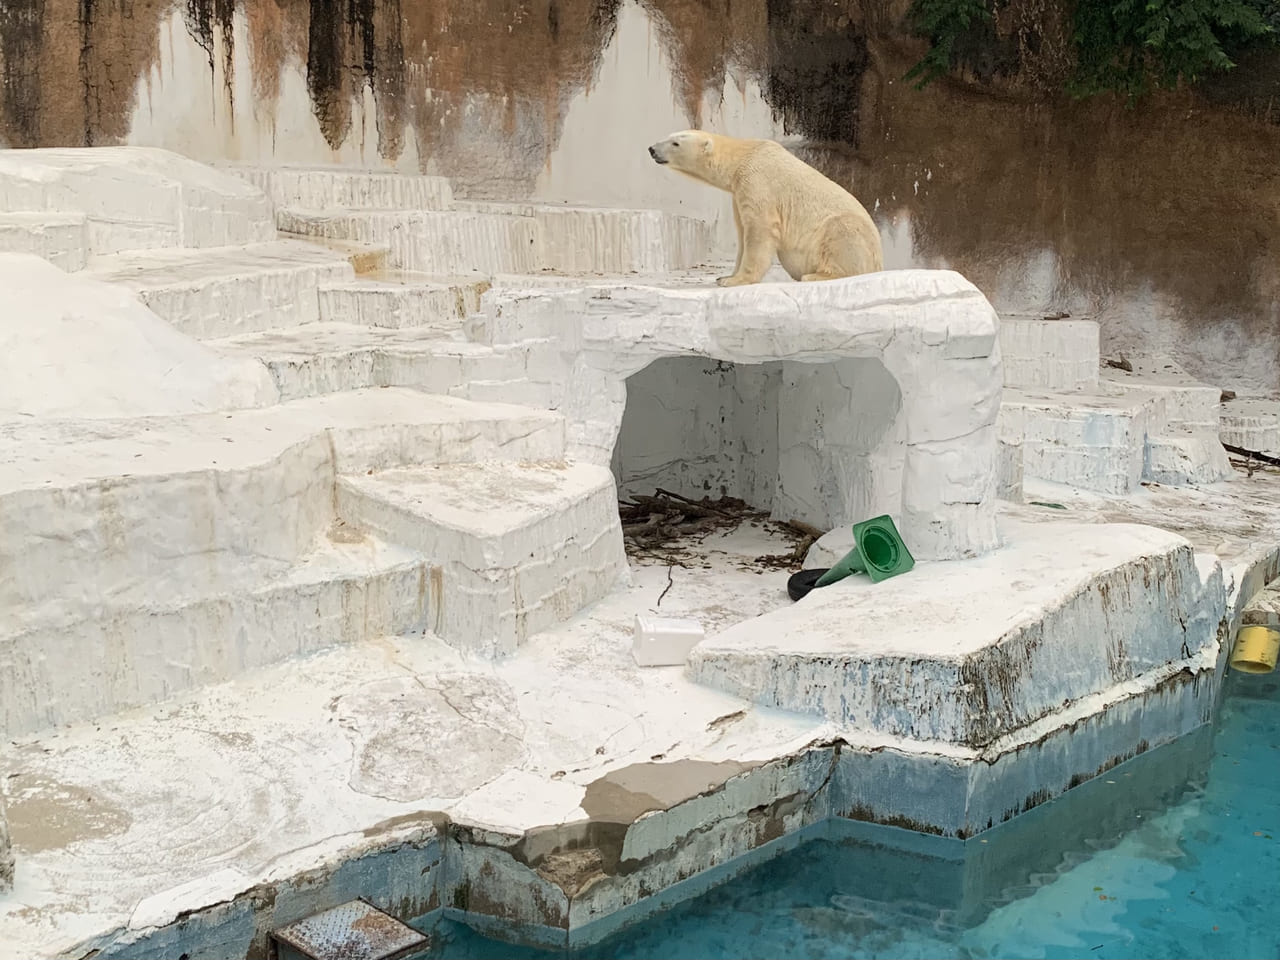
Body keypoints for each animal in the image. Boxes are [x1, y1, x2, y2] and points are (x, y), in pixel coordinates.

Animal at [645, 131, 885, 289]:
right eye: (670, 136)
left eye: (675, 142)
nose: (652, 149)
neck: (745, 155)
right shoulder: (738, 193)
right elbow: (742, 233)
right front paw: (724, 277)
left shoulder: (757, 183)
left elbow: (759, 231)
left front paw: (735, 280)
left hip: (847, 232)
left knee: (841, 235)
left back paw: (815, 276)